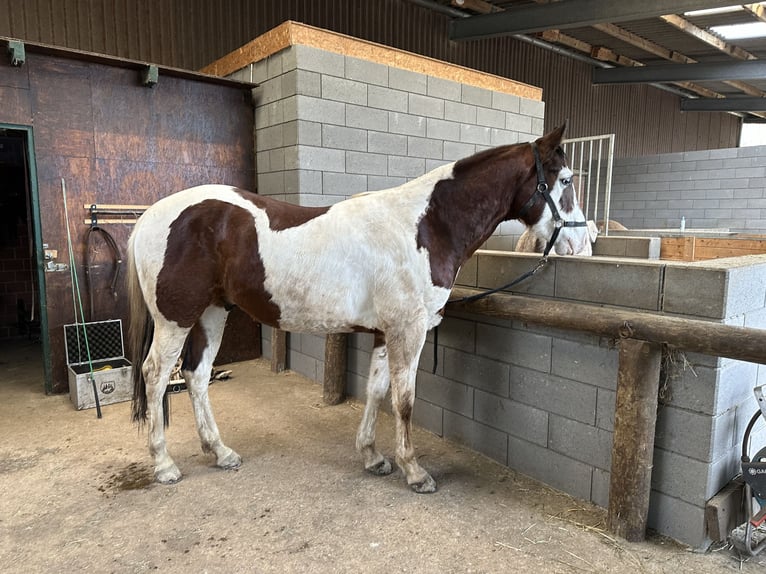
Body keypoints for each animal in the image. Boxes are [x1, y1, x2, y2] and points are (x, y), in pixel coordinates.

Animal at [130, 125, 588, 496]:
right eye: (565, 180)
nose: (580, 243)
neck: (425, 226)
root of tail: (151, 216)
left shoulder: (386, 331)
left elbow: (377, 391)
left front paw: (373, 457)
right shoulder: (409, 330)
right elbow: (405, 400)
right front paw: (415, 472)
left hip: (212, 312)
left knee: (196, 375)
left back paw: (221, 451)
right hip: (175, 319)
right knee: (156, 375)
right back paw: (164, 465)